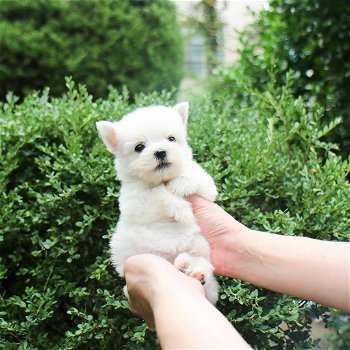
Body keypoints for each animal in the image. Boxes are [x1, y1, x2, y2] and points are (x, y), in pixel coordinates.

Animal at [97, 102, 217, 304]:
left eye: (171, 139)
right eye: (139, 147)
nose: (160, 152)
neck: (161, 179)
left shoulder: (207, 189)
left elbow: (192, 176)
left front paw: (179, 185)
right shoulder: (135, 201)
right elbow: (158, 194)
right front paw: (182, 210)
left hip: (199, 248)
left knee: (203, 267)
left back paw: (194, 271)